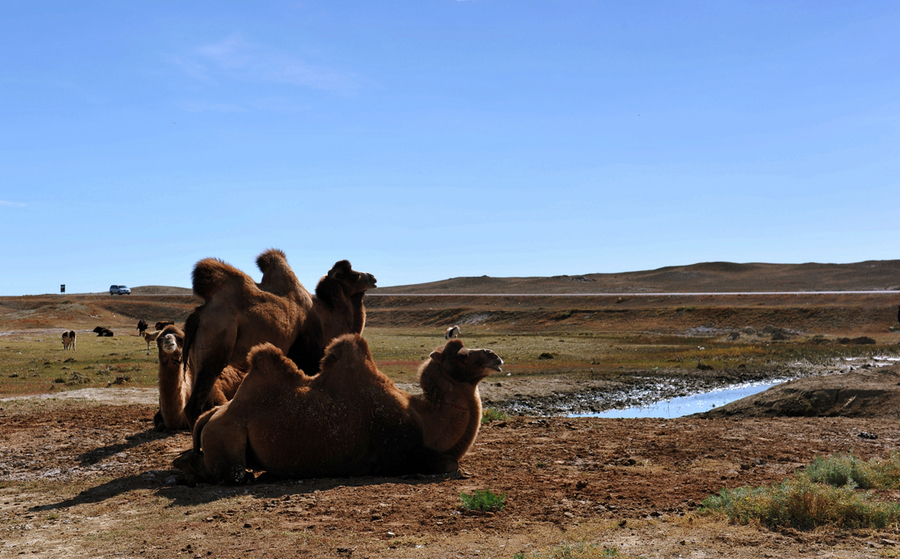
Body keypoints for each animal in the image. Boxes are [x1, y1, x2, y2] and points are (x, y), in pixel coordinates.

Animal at [172, 334, 502, 484]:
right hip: (227, 439)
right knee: (233, 474)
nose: (494, 356)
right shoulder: (399, 452)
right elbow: (448, 463)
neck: (425, 419)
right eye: (461, 355)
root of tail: (211, 415)